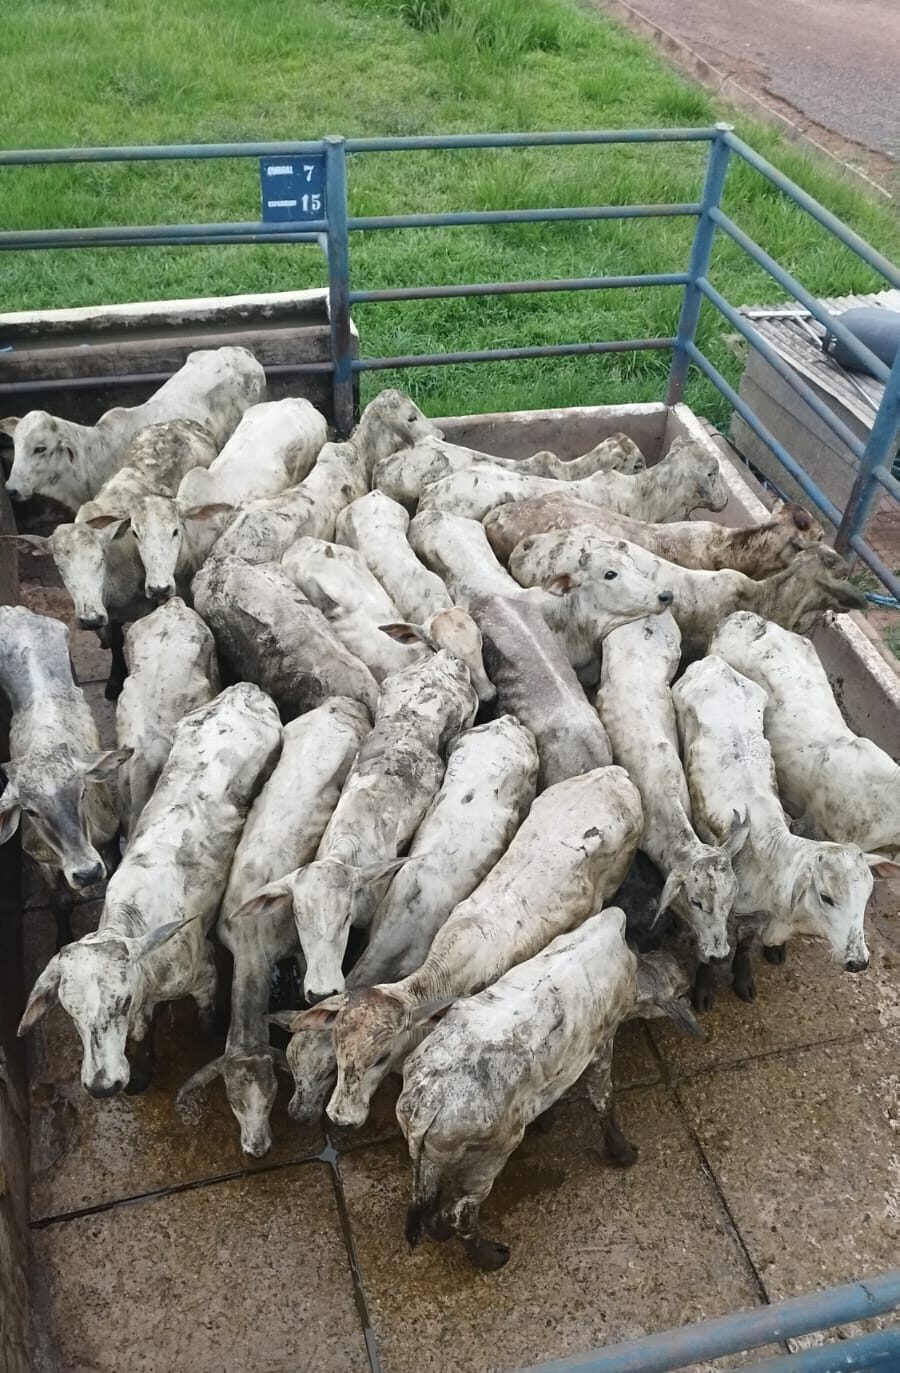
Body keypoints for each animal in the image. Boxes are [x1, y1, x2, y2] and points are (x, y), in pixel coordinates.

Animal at [0, 605, 129, 938]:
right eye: (30, 811)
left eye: (82, 793)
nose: (87, 873)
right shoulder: (41, 860)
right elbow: (60, 901)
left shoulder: (110, 840)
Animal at [17, 684, 282, 1096]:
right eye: (69, 1010)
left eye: (121, 1002)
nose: (102, 1086)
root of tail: (244, 690)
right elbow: (142, 1034)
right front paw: (141, 1072)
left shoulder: (204, 974)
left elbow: (207, 1018)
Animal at [178, 697, 370, 1156]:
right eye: (231, 1099)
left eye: (269, 1097)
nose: (256, 1150)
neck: (252, 943)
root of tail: (343, 702)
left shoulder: (296, 946)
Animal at [397, 908, 697, 1268]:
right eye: (680, 989)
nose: (693, 975)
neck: (633, 967)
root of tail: (428, 1101)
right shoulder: (601, 1044)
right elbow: (602, 1100)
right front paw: (624, 1153)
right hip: (493, 1153)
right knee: (462, 1214)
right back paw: (490, 1257)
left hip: (431, 1155)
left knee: (429, 1205)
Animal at [672, 655, 890, 1010]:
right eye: (826, 897)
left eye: (867, 895)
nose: (858, 962)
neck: (768, 856)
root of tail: (715, 663)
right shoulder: (722, 908)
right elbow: (712, 946)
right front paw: (703, 990)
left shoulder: (756, 916)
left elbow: (745, 944)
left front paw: (744, 979)